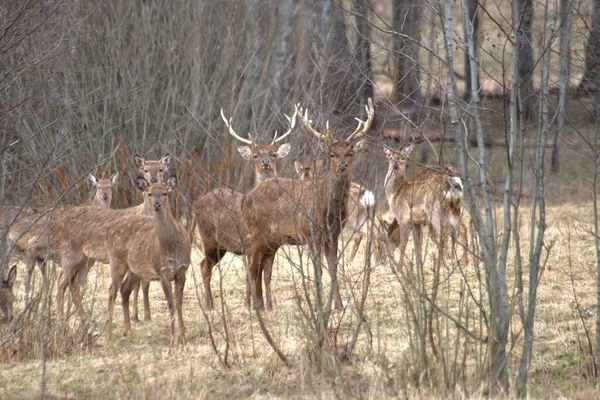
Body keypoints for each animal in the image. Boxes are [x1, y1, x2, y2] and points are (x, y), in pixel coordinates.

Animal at [106, 177, 190, 344]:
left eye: (165, 193)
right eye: (150, 193)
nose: (157, 205)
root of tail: (109, 230)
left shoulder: (182, 271)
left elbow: (179, 303)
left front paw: (183, 338)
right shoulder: (162, 271)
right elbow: (170, 303)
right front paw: (173, 339)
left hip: (136, 269)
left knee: (124, 289)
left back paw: (128, 331)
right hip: (116, 261)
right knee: (112, 291)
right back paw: (109, 335)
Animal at [195, 106, 298, 310]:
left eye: (273, 153)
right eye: (256, 155)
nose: (265, 163)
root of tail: (197, 204)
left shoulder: (272, 248)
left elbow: (266, 276)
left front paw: (268, 306)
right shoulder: (249, 244)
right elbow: (251, 275)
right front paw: (249, 305)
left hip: (221, 246)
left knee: (205, 265)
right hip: (208, 238)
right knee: (204, 267)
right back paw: (210, 305)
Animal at [240, 98, 372, 310]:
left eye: (350, 153)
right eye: (332, 154)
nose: (342, 166)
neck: (327, 209)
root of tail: (244, 199)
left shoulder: (333, 234)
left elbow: (333, 268)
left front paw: (338, 306)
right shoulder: (310, 232)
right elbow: (318, 270)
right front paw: (319, 306)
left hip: (270, 238)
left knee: (258, 268)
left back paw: (260, 305)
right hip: (257, 231)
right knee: (252, 267)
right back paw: (256, 306)